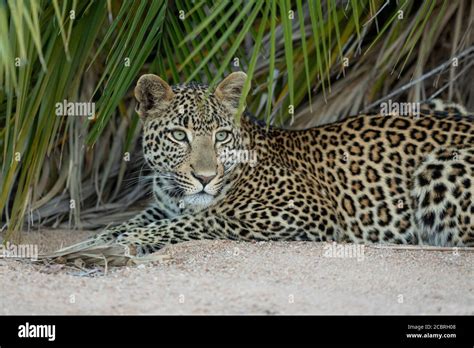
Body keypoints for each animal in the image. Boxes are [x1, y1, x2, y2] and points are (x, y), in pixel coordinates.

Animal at [50, 71, 472, 260]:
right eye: (179, 136)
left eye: (221, 136)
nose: (205, 178)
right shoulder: (162, 206)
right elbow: (130, 222)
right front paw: (98, 239)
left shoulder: (300, 210)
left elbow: (195, 222)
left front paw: (120, 244)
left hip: (439, 168)